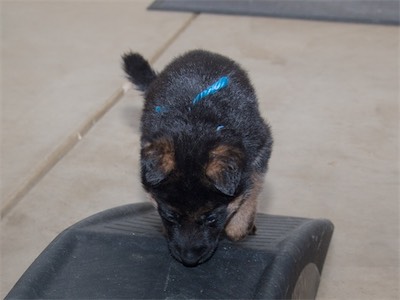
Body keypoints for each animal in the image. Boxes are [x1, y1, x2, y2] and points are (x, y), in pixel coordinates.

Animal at [121, 49, 272, 268]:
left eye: (211, 218)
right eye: (170, 215)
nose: (189, 259)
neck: (195, 122)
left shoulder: (261, 147)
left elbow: (252, 189)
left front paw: (239, 225)